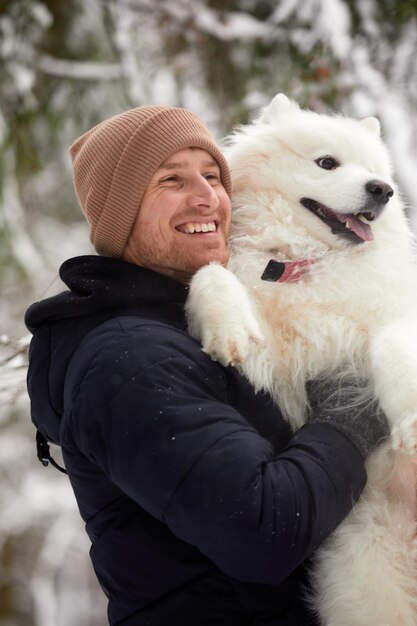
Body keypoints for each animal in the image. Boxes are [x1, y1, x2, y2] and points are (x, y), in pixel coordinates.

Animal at [187, 94, 416, 624]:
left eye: (375, 171)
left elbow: (392, 347)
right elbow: (209, 275)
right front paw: (228, 327)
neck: (301, 264)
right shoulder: (278, 368)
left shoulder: (393, 315)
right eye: (327, 163)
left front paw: (412, 420)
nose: (384, 190)